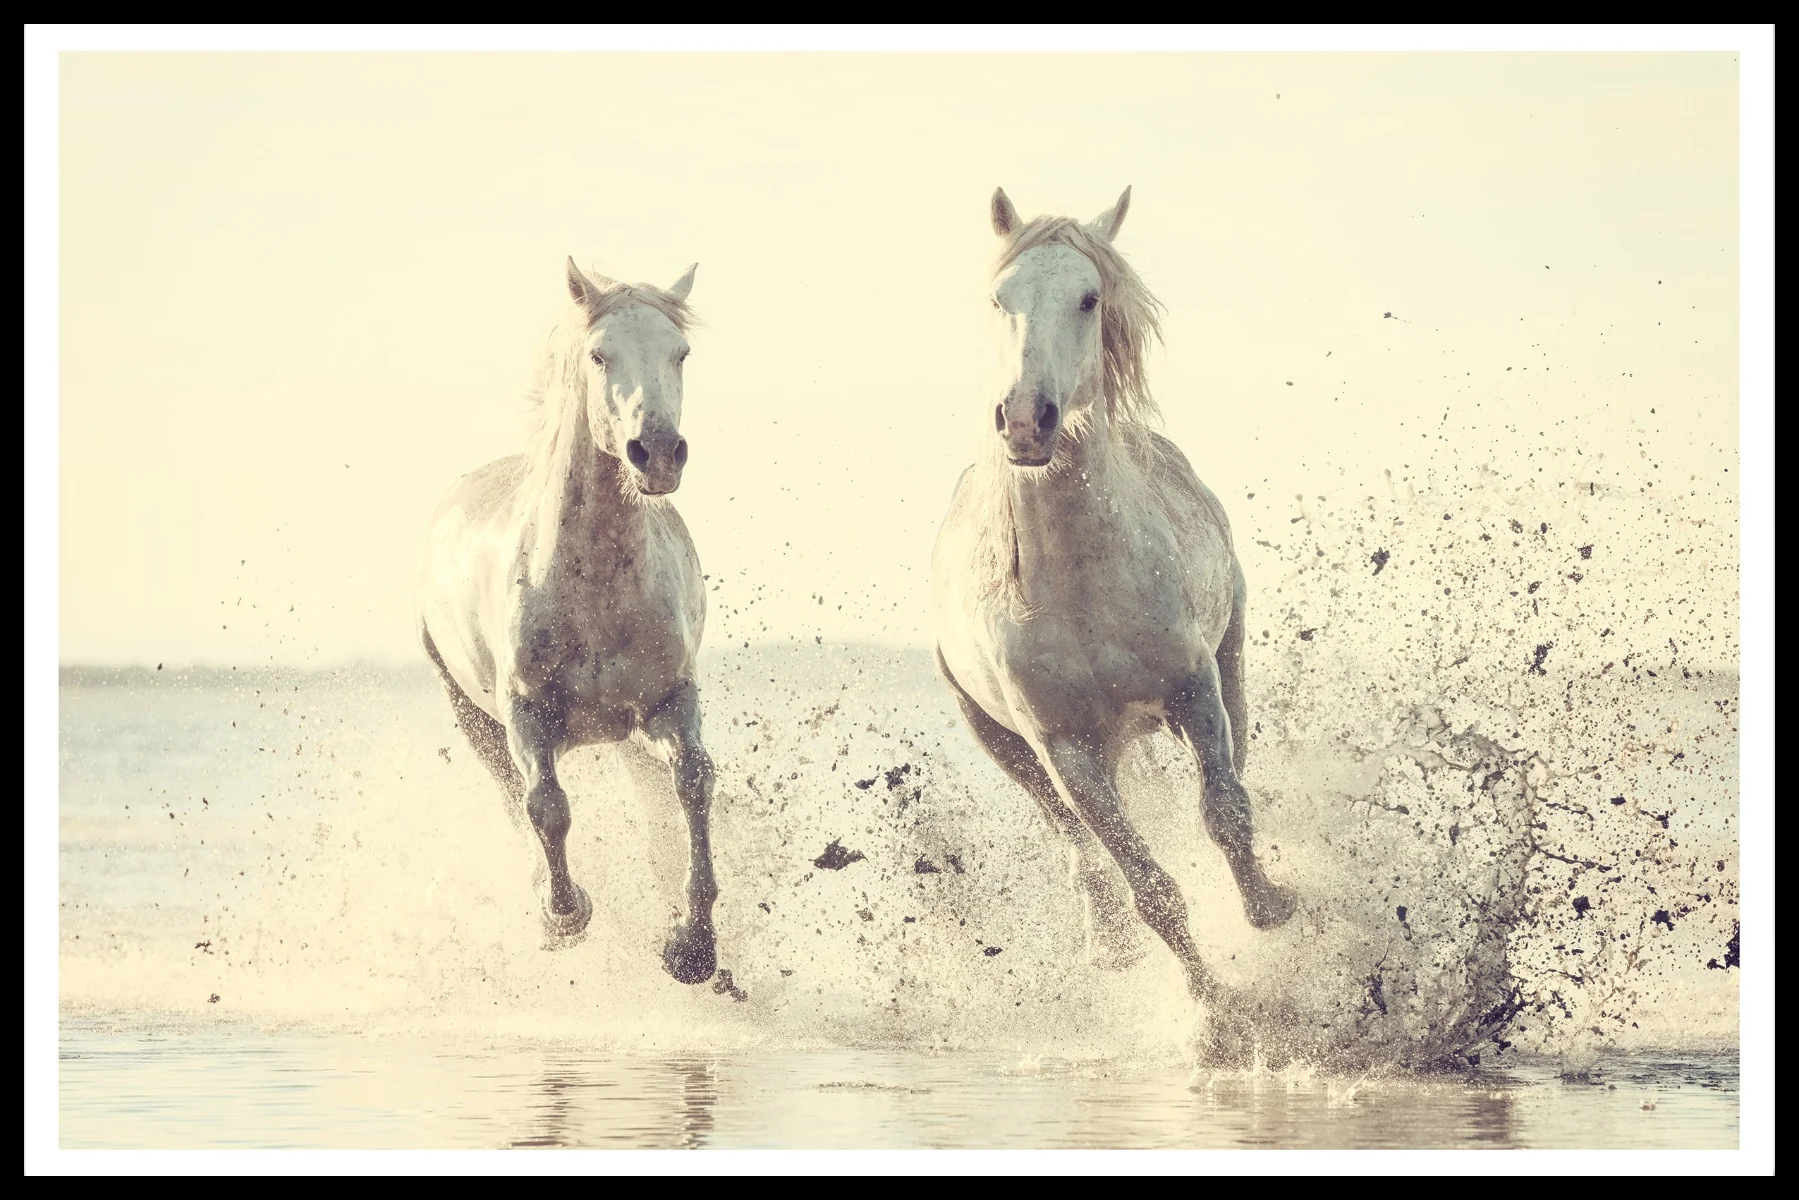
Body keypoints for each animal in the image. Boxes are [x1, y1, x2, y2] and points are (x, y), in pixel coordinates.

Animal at [416, 255, 721, 986]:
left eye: (681, 352)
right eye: (598, 354)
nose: (657, 452)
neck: (594, 589)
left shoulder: (671, 700)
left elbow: (693, 785)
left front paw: (693, 946)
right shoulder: (527, 713)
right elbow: (546, 807)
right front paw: (565, 915)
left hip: (627, 729)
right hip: (471, 715)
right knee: (511, 798)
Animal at [930, 187, 1297, 1007]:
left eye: (1088, 297)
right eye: (998, 299)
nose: (1025, 420)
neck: (1078, 586)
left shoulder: (1192, 689)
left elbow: (1225, 812)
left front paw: (1270, 907)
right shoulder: (1065, 749)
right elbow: (1147, 884)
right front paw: (1213, 1006)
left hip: (1228, 657)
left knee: (1237, 759)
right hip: (1005, 745)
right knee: (1077, 848)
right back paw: (1108, 942)